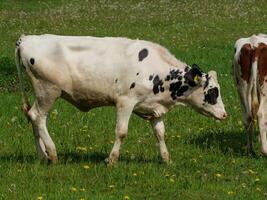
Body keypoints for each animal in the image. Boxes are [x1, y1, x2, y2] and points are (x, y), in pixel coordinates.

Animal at [15, 34, 227, 166]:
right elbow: (121, 132)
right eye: (213, 91)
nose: (225, 114)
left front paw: (166, 159)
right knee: (38, 117)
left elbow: (160, 133)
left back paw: (42, 156)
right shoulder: (125, 101)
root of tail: (27, 38)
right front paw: (112, 160)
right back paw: (52, 153)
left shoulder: (155, 109)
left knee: (33, 117)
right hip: (48, 90)